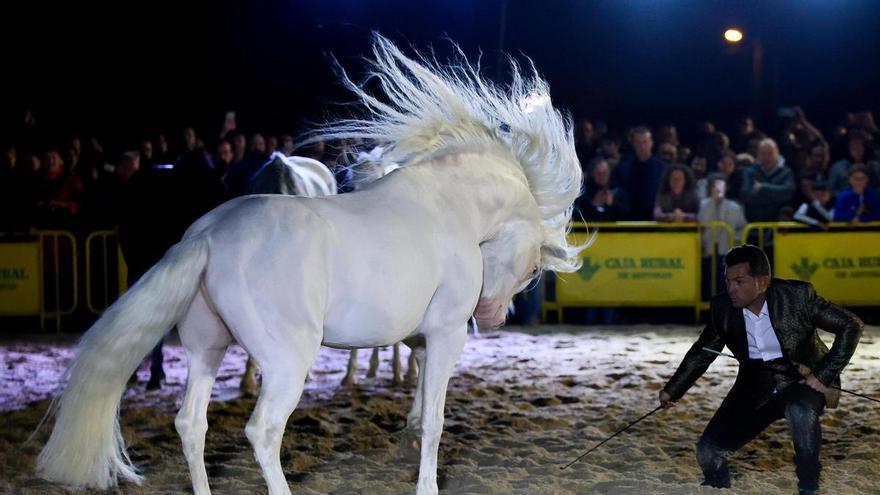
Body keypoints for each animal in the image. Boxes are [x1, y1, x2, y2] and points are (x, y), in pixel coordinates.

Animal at [36, 34, 585, 495]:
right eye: (534, 271)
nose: (493, 317)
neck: (452, 206)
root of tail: (208, 236)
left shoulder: (419, 338)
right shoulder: (447, 333)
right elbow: (434, 421)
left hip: (207, 348)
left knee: (191, 424)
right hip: (287, 360)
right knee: (261, 431)